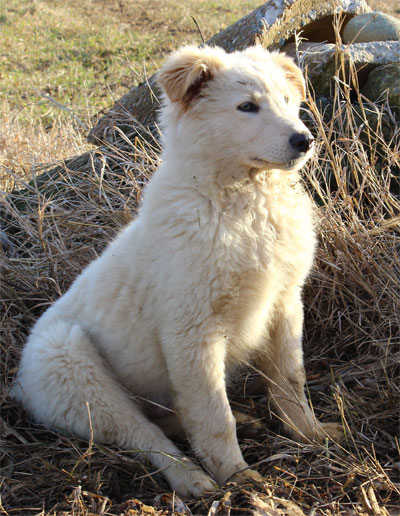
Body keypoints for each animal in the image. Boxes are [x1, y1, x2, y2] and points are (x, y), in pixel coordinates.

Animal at [13, 46, 340, 498]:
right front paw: (237, 478)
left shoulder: (285, 300)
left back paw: (245, 425)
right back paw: (194, 478)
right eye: (247, 107)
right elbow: (213, 414)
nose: (304, 140)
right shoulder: (192, 328)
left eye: (290, 101)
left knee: (163, 419)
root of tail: (19, 382)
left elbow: (291, 380)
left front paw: (312, 435)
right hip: (75, 370)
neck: (245, 202)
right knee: (143, 434)